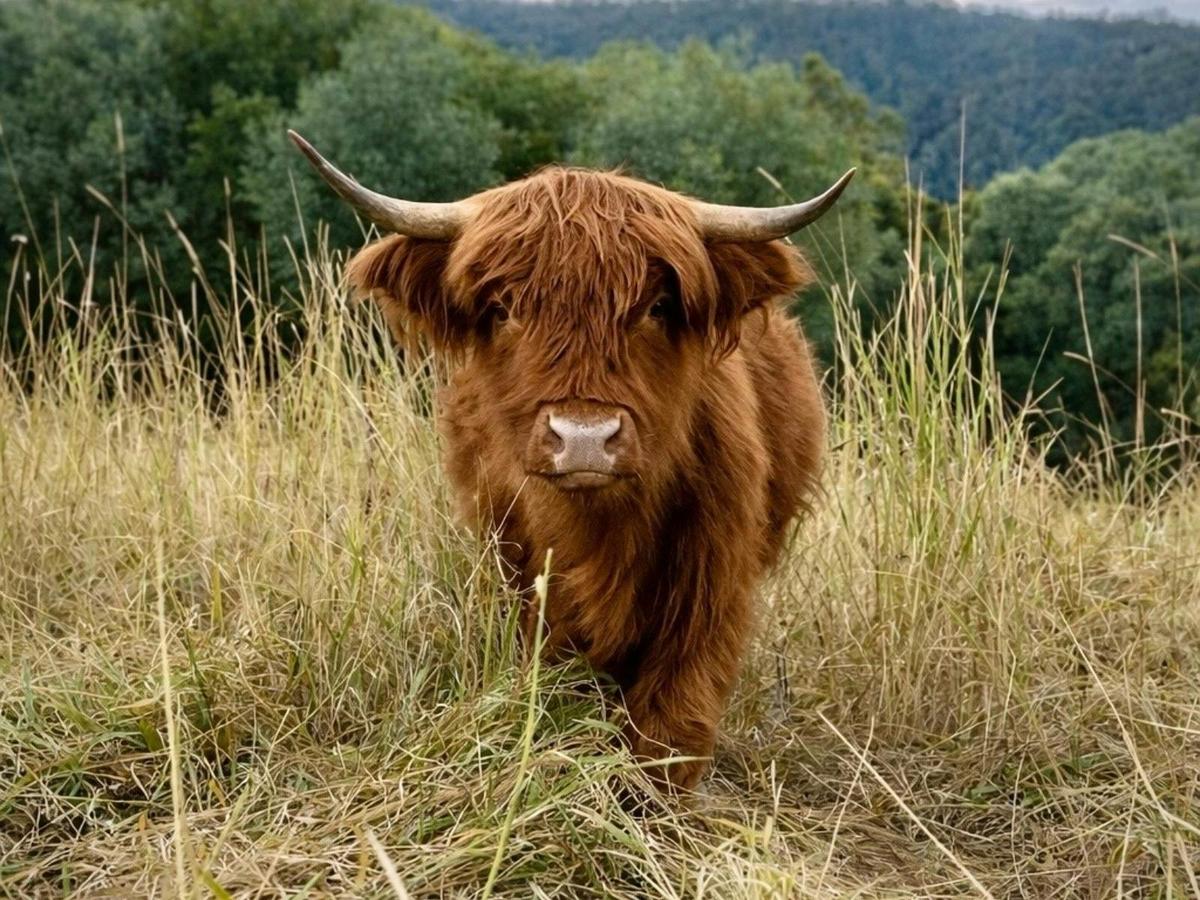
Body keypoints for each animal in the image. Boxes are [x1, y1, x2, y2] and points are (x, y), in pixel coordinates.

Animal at [289, 130, 852, 792]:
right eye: (503, 308)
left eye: (657, 307)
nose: (584, 437)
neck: (599, 530)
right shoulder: (524, 580)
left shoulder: (710, 584)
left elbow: (672, 720)